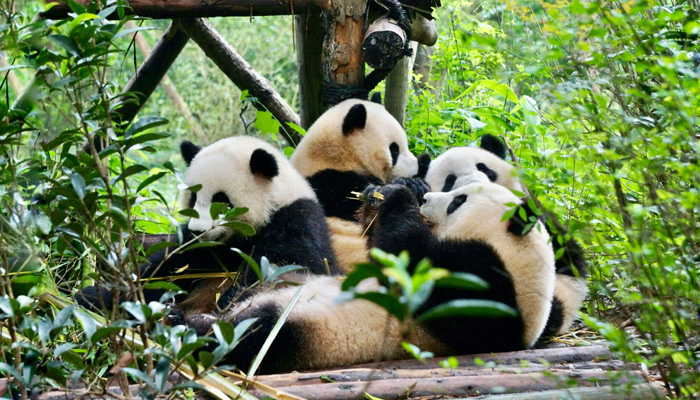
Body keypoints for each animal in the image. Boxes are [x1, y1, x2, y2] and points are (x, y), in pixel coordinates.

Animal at [77, 136, 341, 313]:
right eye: (193, 198)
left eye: (220, 201)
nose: (197, 231)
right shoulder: (196, 250)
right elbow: (165, 268)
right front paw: (97, 295)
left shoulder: (296, 221)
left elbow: (289, 267)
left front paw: (227, 300)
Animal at [179, 181, 555, 373]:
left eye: (458, 200)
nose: (426, 197)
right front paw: (381, 194)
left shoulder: (491, 292)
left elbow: (416, 265)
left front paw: (398, 198)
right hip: (280, 285)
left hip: (303, 331)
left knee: (254, 335)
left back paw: (190, 326)